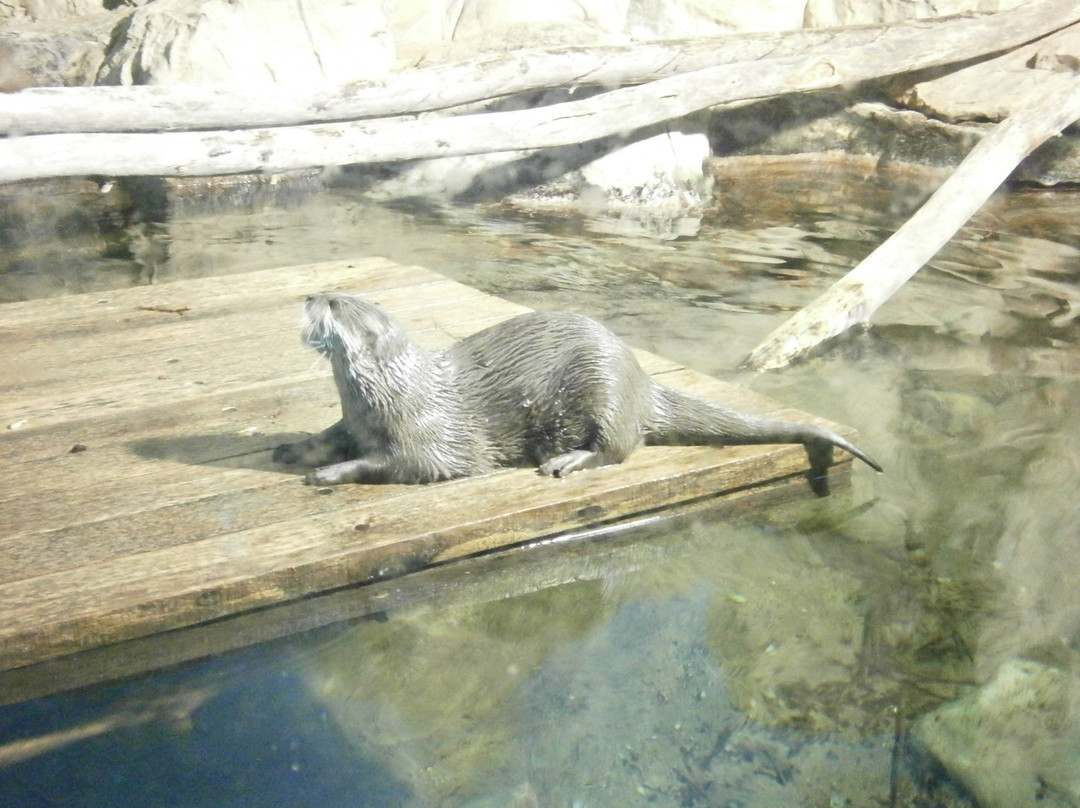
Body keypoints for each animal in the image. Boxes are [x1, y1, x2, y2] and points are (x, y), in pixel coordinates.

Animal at [272, 289, 876, 492]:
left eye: (334, 303)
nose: (309, 293)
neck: (390, 395)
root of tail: (641, 380)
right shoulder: (353, 419)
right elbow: (330, 434)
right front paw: (294, 449)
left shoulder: (426, 439)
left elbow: (400, 465)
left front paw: (329, 473)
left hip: (601, 386)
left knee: (619, 448)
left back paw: (565, 462)